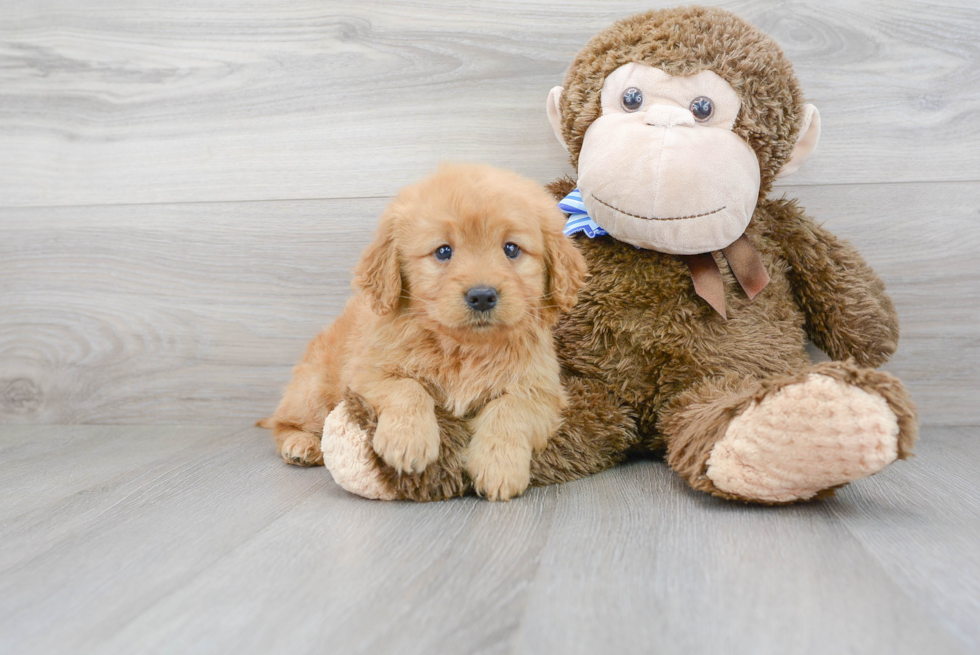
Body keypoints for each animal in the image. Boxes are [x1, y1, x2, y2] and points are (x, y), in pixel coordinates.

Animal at [260, 164, 584, 502]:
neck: (464, 348)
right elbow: (407, 387)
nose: (482, 296)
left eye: (511, 249)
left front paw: (499, 466)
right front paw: (407, 441)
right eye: (443, 251)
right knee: (283, 422)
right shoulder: (366, 376)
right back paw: (300, 444)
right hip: (314, 392)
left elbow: (509, 410)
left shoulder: (542, 391)